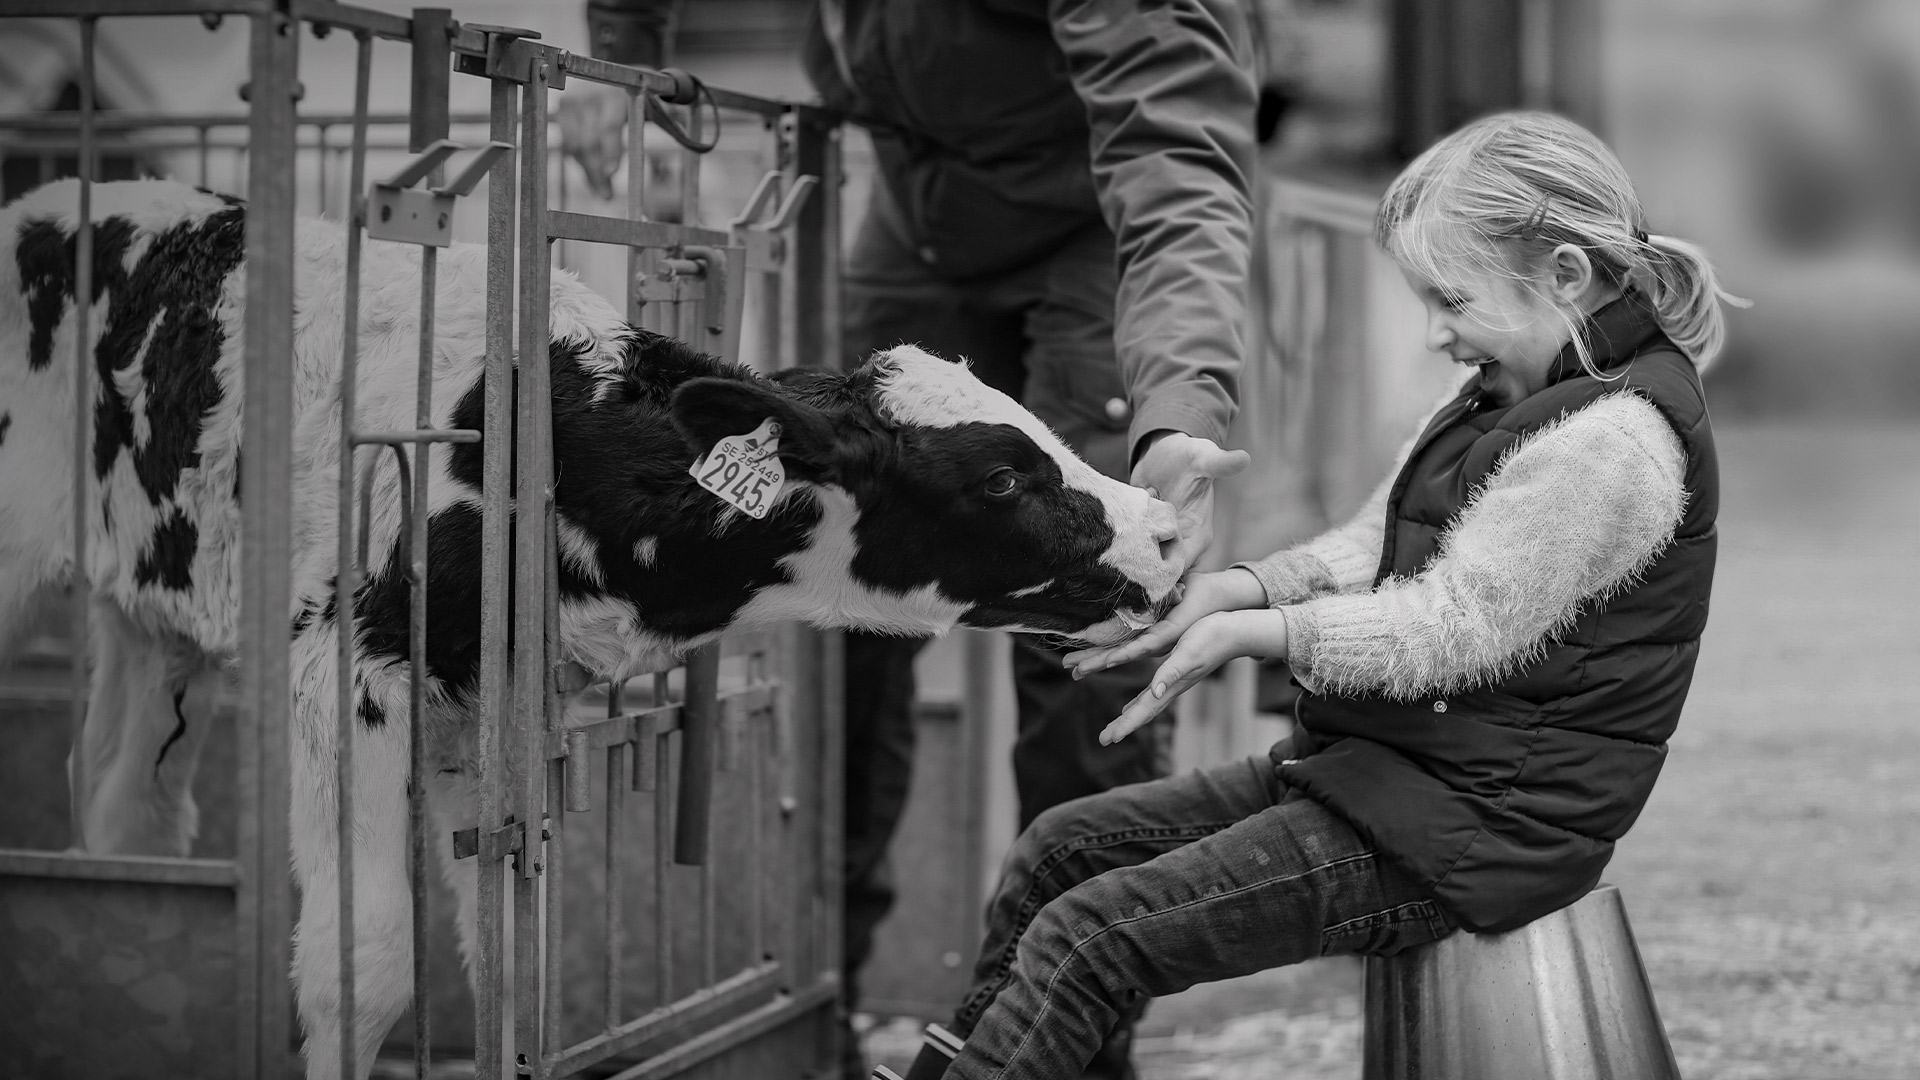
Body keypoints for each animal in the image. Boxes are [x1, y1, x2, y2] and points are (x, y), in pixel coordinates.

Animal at [0, 178, 1182, 1076]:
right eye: (1001, 478)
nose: (1167, 532)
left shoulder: (493, 697)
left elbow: (511, 956)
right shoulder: (344, 666)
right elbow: (360, 962)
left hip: (155, 616)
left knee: (126, 808)